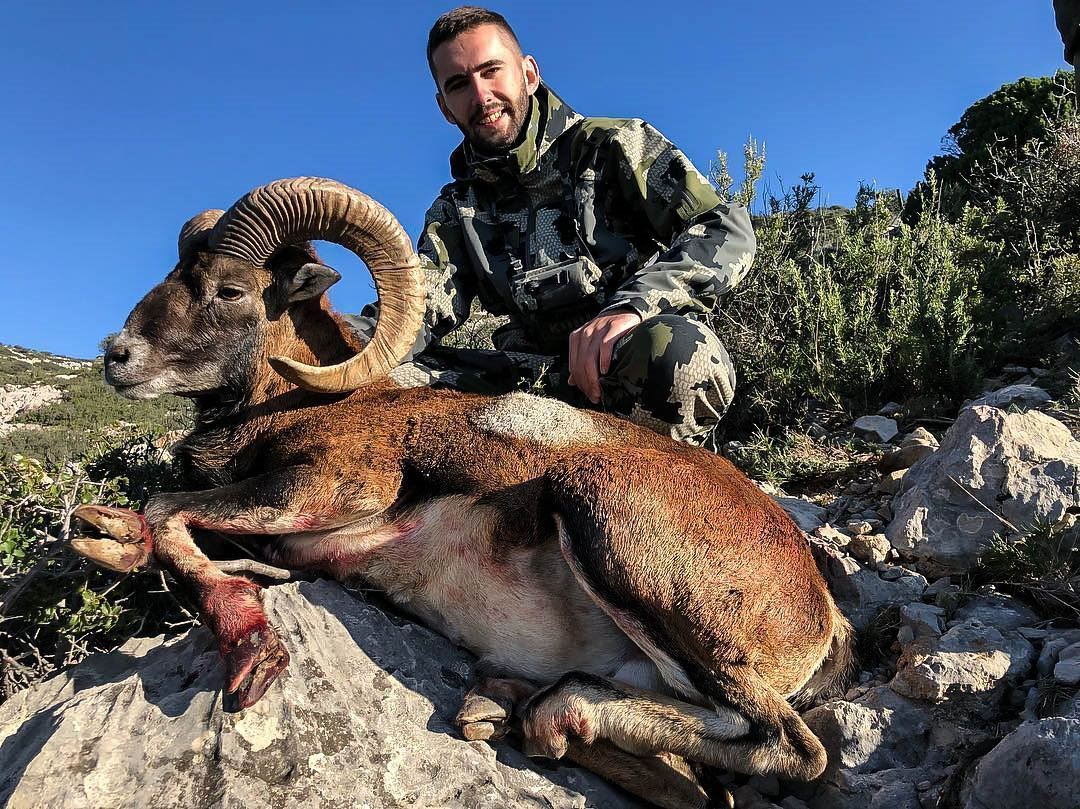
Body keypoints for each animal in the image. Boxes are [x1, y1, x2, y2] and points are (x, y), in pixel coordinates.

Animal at [72, 177, 854, 809]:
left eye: (230, 289)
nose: (118, 356)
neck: (306, 403)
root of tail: (819, 612)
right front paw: (106, 534)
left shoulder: (327, 489)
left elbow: (168, 514)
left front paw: (251, 652)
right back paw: (502, 708)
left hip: (609, 526)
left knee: (785, 746)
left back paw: (546, 708)